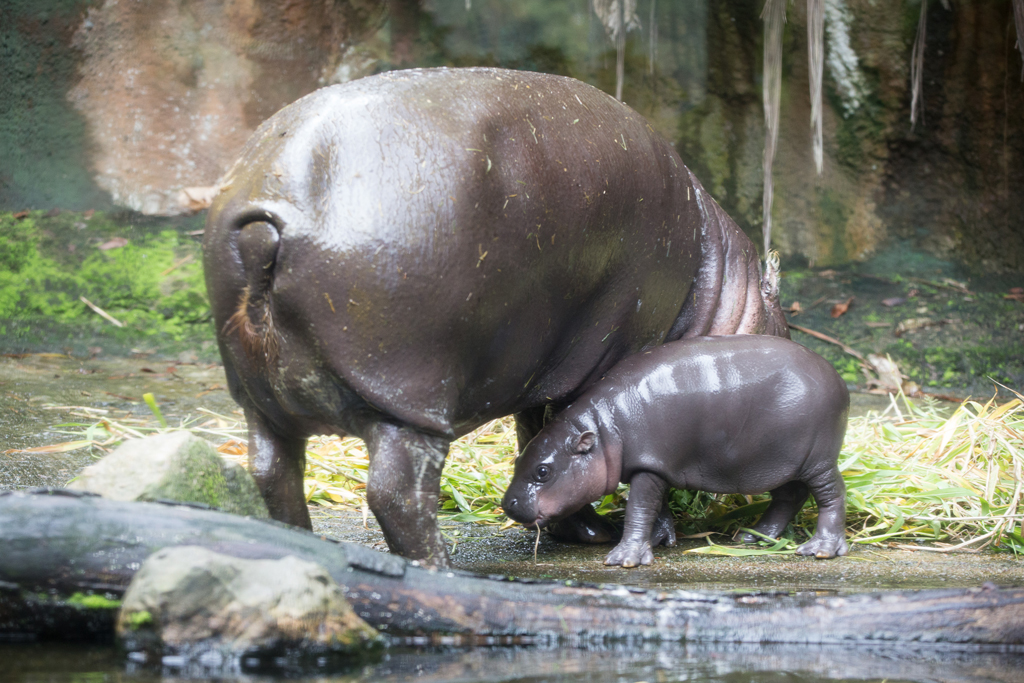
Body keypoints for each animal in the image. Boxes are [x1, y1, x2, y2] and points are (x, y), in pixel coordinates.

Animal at [203, 65, 786, 565]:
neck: (720, 281)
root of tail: (269, 213)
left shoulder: (544, 372)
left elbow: (537, 440)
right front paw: (641, 533)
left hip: (261, 397)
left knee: (272, 472)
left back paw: (303, 549)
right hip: (408, 401)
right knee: (396, 493)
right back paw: (440, 568)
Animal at [501, 335, 847, 565]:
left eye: (543, 471)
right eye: (517, 461)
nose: (508, 503)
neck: (602, 428)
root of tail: (838, 378)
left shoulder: (648, 466)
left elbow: (639, 508)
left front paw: (625, 558)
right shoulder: (656, 466)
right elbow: (656, 507)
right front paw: (658, 540)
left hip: (818, 460)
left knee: (832, 494)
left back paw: (820, 549)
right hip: (779, 461)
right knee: (790, 496)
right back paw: (752, 536)